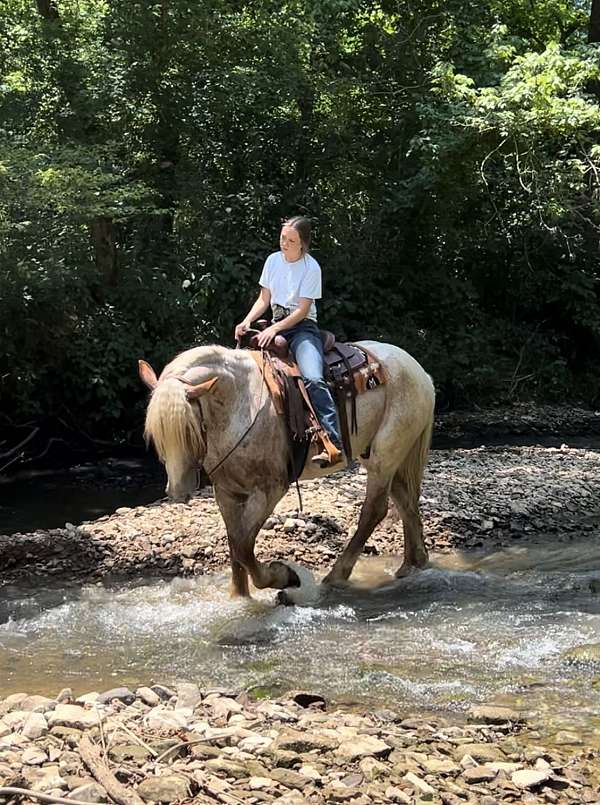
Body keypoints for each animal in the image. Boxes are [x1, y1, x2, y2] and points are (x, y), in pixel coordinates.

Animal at [138, 340, 434, 596]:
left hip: (384, 456)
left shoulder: (269, 490)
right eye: (157, 436)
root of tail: (420, 372)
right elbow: (235, 545)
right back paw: (413, 564)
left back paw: (336, 576)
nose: (178, 491)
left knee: (375, 510)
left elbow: (243, 547)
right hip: (385, 455)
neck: (240, 402)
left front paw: (284, 577)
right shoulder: (227, 492)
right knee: (405, 501)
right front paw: (239, 598)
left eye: (188, 431)